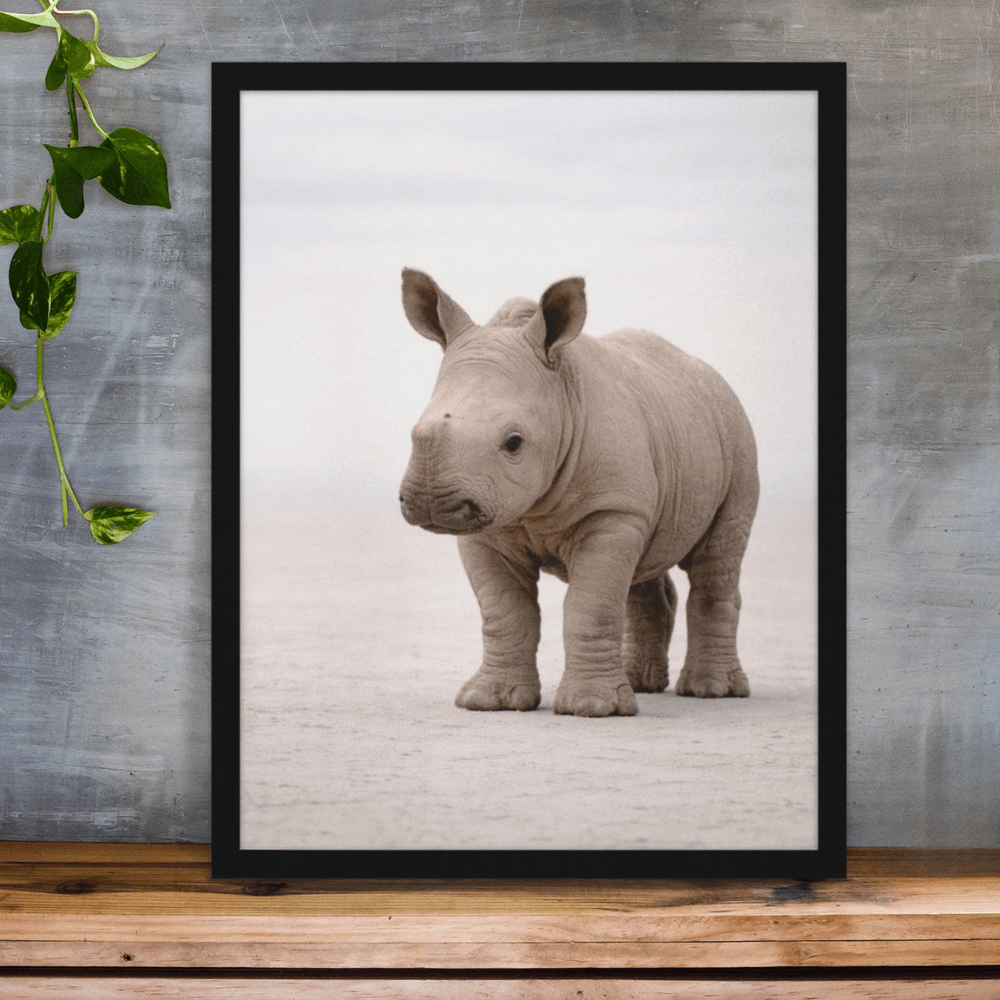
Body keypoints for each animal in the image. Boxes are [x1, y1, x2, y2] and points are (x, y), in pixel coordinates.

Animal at [398, 269, 759, 718]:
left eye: (514, 443)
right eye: (415, 432)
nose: (430, 502)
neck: (561, 397)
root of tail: (712, 377)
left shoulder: (610, 510)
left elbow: (591, 605)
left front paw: (591, 707)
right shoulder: (489, 520)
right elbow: (504, 611)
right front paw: (488, 701)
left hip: (736, 436)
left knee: (716, 560)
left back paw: (711, 690)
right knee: (642, 565)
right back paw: (641, 683)